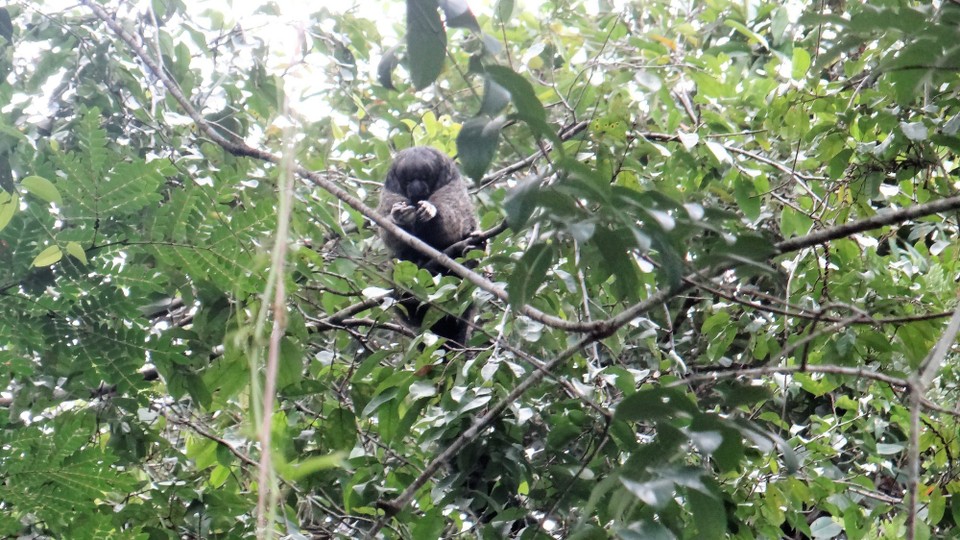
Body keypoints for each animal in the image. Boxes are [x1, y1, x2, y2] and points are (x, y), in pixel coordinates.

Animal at [376, 147, 480, 350]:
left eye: (423, 177)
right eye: (409, 180)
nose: (416, 187)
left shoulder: (452, 183)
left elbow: (455, 223)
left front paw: (431, 211)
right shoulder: (390, 190)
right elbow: (390, 235)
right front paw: (399, 217)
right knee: (396, 264)